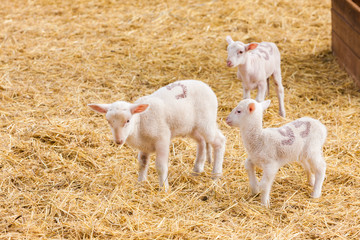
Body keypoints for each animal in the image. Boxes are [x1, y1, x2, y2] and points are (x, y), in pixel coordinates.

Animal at [88, 80, 225, 191]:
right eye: (108, 121)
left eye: (127, 121)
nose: (118, 141)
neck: (140, 123)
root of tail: (206, 86)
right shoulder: (144, 145)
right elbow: (142, 162)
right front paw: (141, 183)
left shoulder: (162, 139)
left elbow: (160, 166)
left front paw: (164, 189)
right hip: (191, 127)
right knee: (201, 141)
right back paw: (197, 170)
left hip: (206, 122)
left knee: (219, 141)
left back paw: (216, 175)